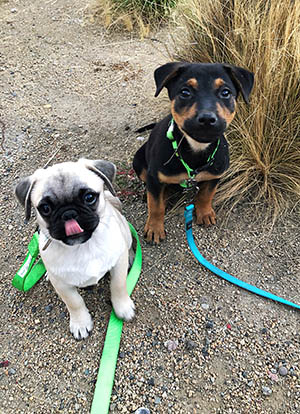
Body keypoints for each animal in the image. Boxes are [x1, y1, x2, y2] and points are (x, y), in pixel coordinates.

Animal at [14, 158, 135, 340]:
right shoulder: (62, 286)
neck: (82, 246)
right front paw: (81, 323)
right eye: (45, 208)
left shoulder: (117, 265)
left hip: (126, 232)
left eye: (89, 197)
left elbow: (118, 285)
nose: (68, 213)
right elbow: (74, 302)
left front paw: (123, 307)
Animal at [133, 61, 253, 243]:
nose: (207, 119)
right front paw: (154, 228)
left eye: (225, 92)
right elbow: (155, 205)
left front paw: (205, 213)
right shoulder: (154, 176)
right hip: (138, 162)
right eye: (185, 92)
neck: (196, 150)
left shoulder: (215, 175)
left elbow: (205, 195)